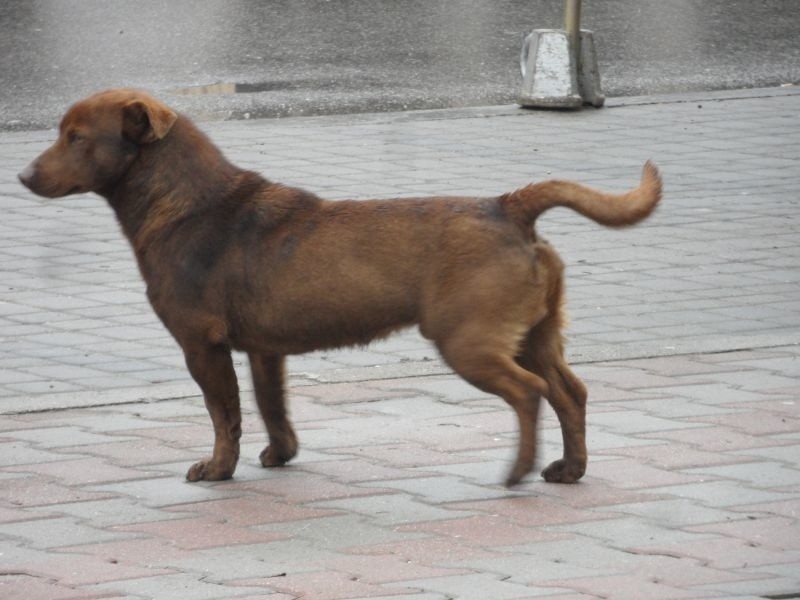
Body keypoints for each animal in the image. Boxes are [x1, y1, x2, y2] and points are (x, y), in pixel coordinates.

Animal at [18, 89, 664, 488]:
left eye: (77, 138)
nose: (22, 175)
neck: (186, 203)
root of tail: (509, 207)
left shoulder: (202, 345)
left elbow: (223, 413)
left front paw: (218, 469)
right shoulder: (265, 350)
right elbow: (271, 405)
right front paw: (280, 456)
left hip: (471, 342)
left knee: (530, 394)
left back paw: (517, 472)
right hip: (536, 334)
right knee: (570, 393)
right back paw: (568, 469)